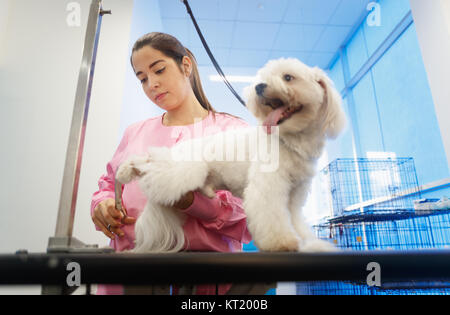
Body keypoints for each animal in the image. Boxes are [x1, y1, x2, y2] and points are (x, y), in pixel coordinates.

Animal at [115, 58, 344, 254]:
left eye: (288, 77)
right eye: (263, 78)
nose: (259, 87)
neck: (288, 140)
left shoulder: (295, 195)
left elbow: (295, 220)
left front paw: (307, 242)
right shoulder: (268, 187)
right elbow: (271, 215)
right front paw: (281, 242)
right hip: (182, 170)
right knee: (147, 164)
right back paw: (127, 171)